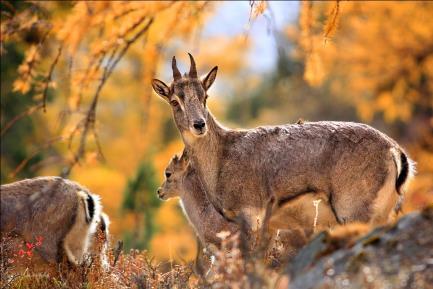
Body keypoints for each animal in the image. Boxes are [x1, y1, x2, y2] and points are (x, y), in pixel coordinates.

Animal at [152, 53, 416, 230]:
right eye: (174, 100)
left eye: (204, 96)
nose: (199, 125)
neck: (222, 158)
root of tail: (395, 152)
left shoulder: (250, 215)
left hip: (354, 212)